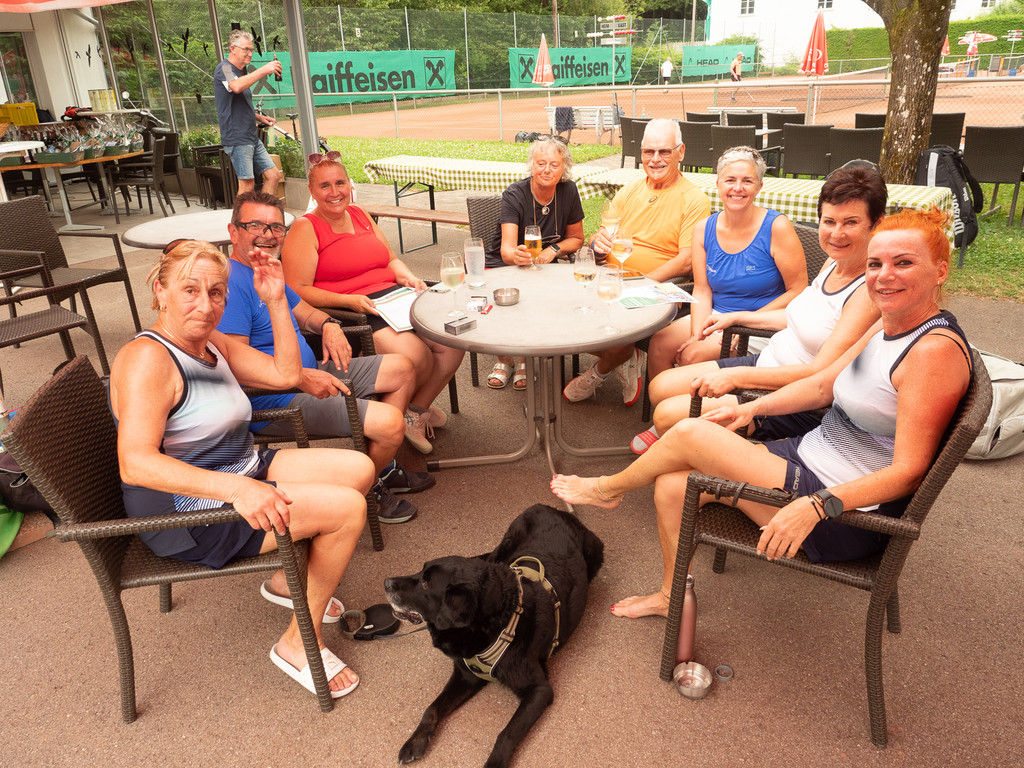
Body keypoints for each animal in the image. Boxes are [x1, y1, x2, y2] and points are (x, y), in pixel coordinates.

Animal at [385, 504, 604, 768]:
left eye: (426, 584)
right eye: (420, 570)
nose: (386, 582)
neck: (498, 621)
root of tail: (556, 509)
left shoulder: (539, 690)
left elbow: (507, 733)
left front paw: (494, 763)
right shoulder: (466, 675)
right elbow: (432, 708)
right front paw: (414, 741)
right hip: (505, 544)